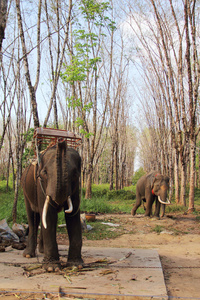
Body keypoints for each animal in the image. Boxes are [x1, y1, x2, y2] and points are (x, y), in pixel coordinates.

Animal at [20, 139, 82, 270]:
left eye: (75, 174)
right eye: (44, 172)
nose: (61, 141)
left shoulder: (75, 189)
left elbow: (72, 216)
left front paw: (76, 265)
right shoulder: (41, 186)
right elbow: (49, 216)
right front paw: (51, 268)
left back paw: (42, 251)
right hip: (25, 191)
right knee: (33, 218)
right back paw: (28, 255)